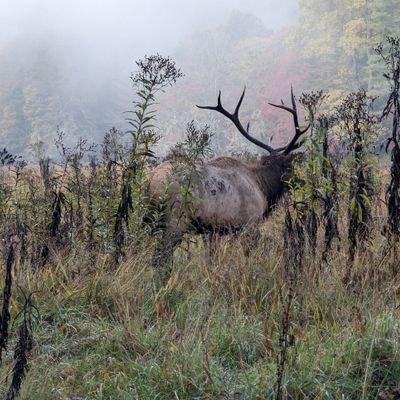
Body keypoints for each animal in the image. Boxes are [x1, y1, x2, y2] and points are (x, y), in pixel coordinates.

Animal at [146, 87, 309, 275]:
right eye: (290, 168)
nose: (303, 182)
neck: (262, 188)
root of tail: (150, 180)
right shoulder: (249, 223)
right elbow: (250, 255)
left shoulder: (216, 231)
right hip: (175, 221)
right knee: (160, 258)